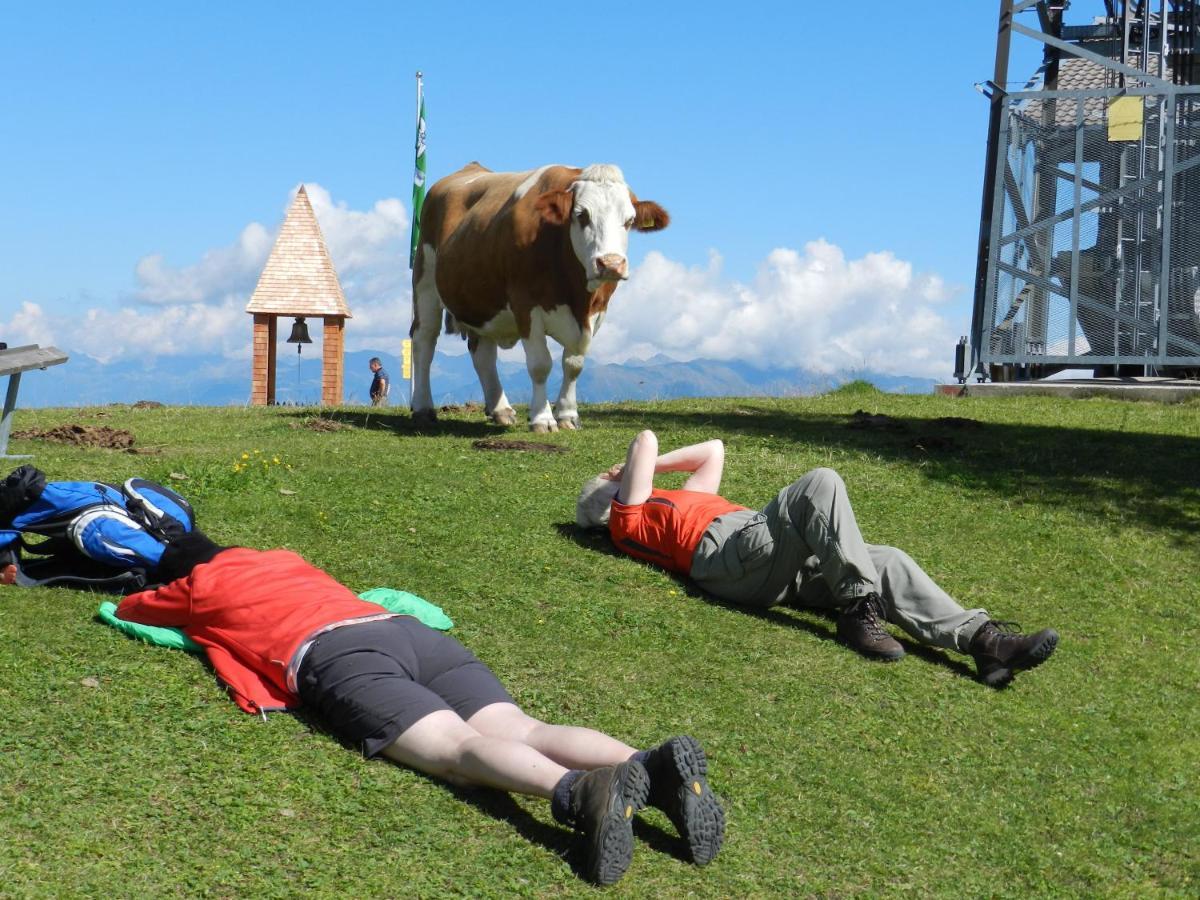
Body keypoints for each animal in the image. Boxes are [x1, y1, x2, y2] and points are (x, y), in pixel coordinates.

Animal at [408, 164, 672, 432]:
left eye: (629, 221)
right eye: (582, 215)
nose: (611, 264)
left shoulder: (596, 313)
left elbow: (574, 364)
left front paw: (567, 415)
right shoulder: (526, 305)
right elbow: (540, 364)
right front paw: (543, 419)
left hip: (481, 302)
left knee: (482, 353)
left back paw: (500, 409)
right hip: (425, 280)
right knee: (424, 340)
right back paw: (423, 408)